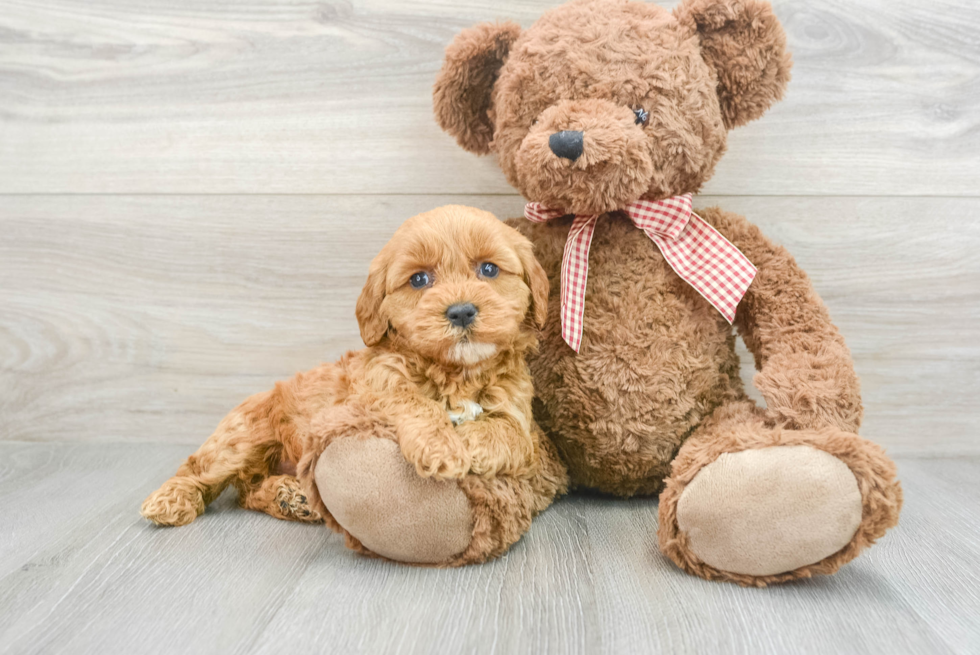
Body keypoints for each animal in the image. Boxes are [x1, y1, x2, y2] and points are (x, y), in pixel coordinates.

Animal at [140, 205, 552, 540]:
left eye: (489, 269)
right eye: (419, 280)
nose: (462, 311)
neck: (454, 371)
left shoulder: (518, 413)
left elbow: (509, 434)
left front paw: (467, 441)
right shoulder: (373, 390)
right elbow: (413, 402)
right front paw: (443, 447)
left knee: (247, 491)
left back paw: (290, 497)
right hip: (241, 438)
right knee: (199, 469)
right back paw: (170, 499)